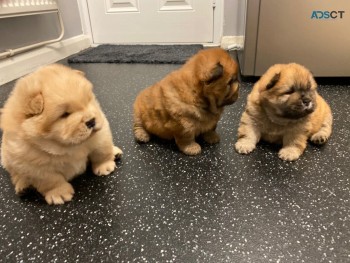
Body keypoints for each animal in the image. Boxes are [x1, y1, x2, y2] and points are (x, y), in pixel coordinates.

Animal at [0, 65, 123, 205]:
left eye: (88, 102)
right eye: (65, 114)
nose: (91, 121)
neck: (68, 146)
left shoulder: (100, 136)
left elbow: (101, 153)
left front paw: (105, 166)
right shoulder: (36, 167)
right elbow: (52, 181)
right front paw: (59, 193)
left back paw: (115, 152)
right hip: (7, 159)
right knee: (16, 175)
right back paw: (24, 187)